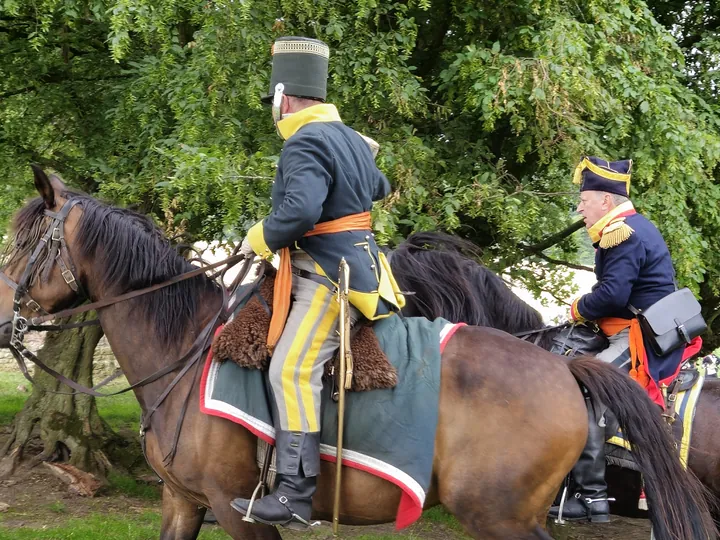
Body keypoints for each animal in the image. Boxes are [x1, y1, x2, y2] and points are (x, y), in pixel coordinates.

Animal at [0, 169, 712, 540]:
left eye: (26, 241)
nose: (5, 316)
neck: (185, 351)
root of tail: (564, 367)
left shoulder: (238, 512)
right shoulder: (183, 501)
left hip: (500, 517)